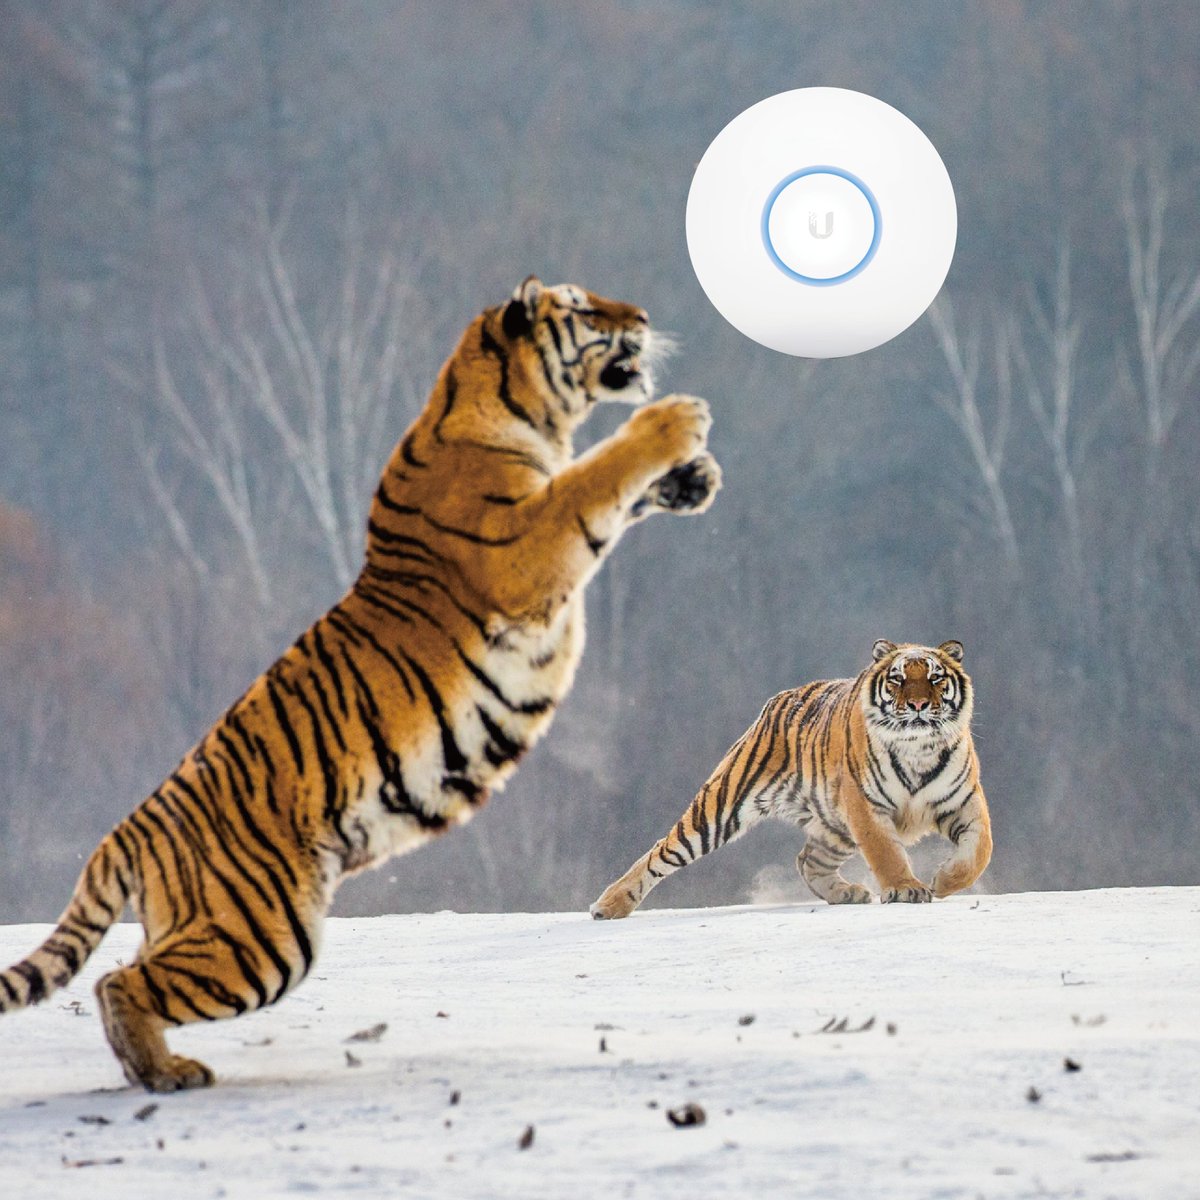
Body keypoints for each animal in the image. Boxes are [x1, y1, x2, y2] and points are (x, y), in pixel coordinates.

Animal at [0, 276, 722, 1092]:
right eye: (583, 307)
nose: (643, 317)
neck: (519, 411)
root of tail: (132, 825)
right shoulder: (524, 547)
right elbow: (595, 478)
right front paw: (675, 421)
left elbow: (614, 493)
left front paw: (693, 478)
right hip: (263, 936)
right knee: (117, 980)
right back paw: (167, 1072)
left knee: (119, 976)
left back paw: (153, 1068)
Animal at [591, 639, 991, 918]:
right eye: (898, 679)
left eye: (935, 678)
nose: (918, 705)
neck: (918, 749)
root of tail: (782, 697)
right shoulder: (867, 808)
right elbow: (887, 853)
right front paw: (906, 888)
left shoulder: (964, 801)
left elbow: (978, 853)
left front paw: (942, 881)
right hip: (719, 808)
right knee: (661, 851)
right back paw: (608, 906)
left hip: (836, 828)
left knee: (807, 860)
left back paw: (847, 893)